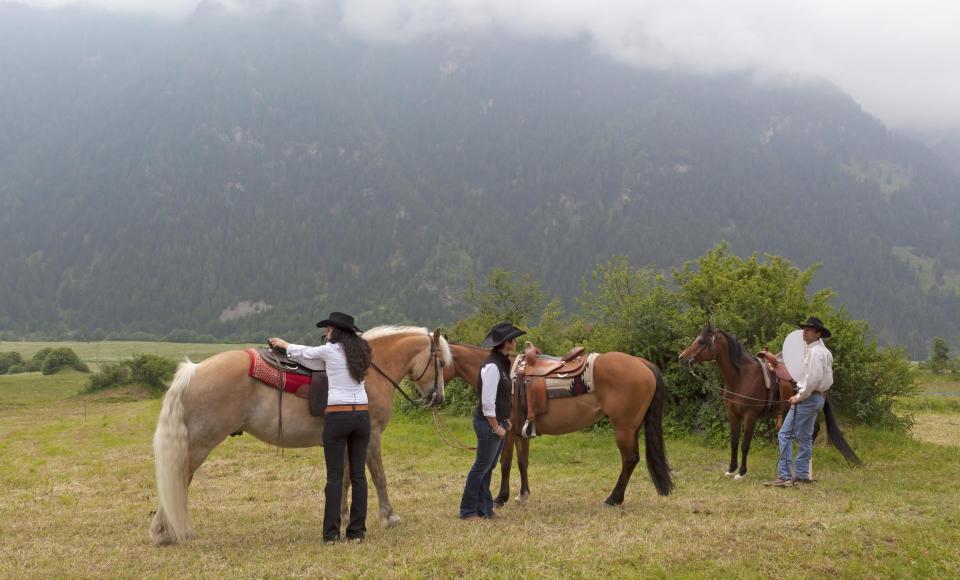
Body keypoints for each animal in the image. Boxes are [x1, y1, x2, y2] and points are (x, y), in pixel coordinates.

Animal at [150, 328, 450, 548]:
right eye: (441, 362)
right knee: (180, 478)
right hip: (199, 445)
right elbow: (378, 477)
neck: (366, 371)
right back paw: (167, 532)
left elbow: (343, 481)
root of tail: (194, 371)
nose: (438, 398)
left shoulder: (344, 440)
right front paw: (389, 517)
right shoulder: (370, 436)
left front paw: (342, 518)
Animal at [446, 342, 672, 506]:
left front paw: (501, 497)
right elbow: (522, 461)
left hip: (623, 428)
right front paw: (523, 494)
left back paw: (613, 498)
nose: (435, 397)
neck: (503, 374)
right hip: (632, 427)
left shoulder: (507, 431)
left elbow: (506, 463)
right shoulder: (520, 431)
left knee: (630, 459)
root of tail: (642, 363)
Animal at [676, 322, 864, 480]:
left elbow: (745, 444)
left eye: (701, 341)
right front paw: (730, 470)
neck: (741, 378)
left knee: (813, 431)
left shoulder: (750, 416)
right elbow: (734, 442)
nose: (681, 357)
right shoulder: (733, 415)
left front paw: (741, 473)